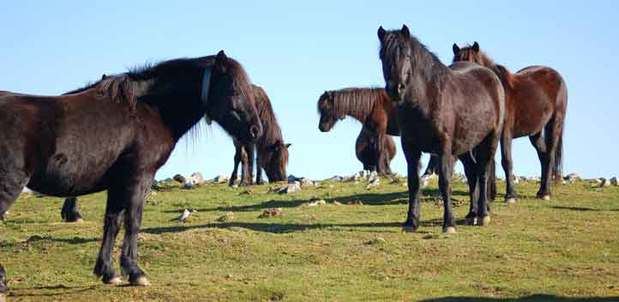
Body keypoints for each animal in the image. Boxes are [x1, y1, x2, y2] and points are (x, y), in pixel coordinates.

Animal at [0, 50, 264, 286]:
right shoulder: (139, 178)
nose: (256, 130)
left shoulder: (118, 183)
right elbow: (133, 221)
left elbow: (113, 223)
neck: (147, 110)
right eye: (235, 90)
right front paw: (135, 272)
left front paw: (108, 272)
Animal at [378, 25, 504, 234]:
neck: (427, 98)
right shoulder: (410, 148)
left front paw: (449, 224)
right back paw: (472, 214)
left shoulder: (443, 148)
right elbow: (413, 183)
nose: (395, 88)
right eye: (382, 56)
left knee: (483, 172)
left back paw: (483, 214)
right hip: (464, 146)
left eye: (407, 55)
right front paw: (411, 222)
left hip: (489, 140)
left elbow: (445, 182)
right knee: (472, 173)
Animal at [450, 42, 568, 203]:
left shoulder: (505, 133)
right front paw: (489, 195)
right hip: (535, 132)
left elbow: (506, 161)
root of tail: (557, 76)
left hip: (555, 123)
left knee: (549, 155)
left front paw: (510, 195)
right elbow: (489, 163)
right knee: (543, 155)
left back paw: (545, 193)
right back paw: (540, 191)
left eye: (470, 63)